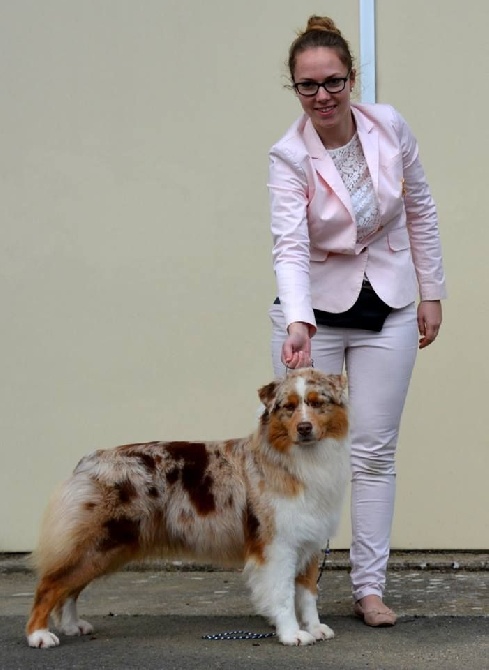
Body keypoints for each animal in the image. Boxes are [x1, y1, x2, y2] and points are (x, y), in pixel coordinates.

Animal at [26, 370, 348, 648]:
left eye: (317, 403)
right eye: (289, 407)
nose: (304, 428)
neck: (301, 459)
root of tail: (88, 461)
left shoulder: (308, 540)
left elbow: (308, 592)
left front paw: (314, 627)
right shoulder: (276, 544)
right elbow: (282, 593)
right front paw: (292, 634)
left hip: (107, 548)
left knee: (70, 588)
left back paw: (72, 625)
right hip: (97, 541)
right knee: (50, 584)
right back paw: (39, 634)